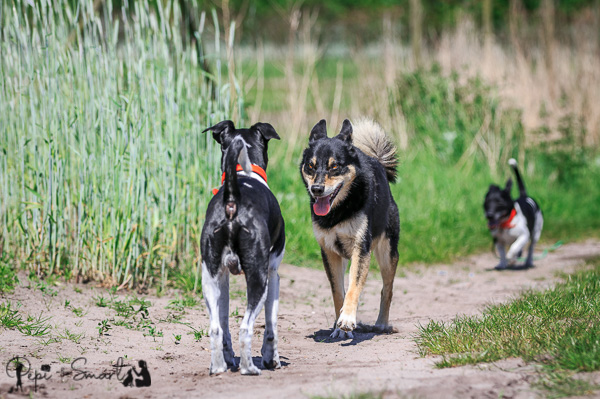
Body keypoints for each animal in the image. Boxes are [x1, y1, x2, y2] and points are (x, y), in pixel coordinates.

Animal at [200, 120, 284, 376]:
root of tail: (232, 200)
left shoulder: (224, 277)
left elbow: (224, 321)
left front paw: (228, 358)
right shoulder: (273, 274)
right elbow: (271, 326)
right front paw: (272, 359)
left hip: (209, 278)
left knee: (216, 328)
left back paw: (218, 367)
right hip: (258, 278)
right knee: (246, 328)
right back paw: (250, 368)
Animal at [298, 117, 398, 340]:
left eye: (335, 166)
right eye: (310, 166)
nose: (316, 189)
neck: (339, 211)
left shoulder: (360, 249)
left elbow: (353, 288)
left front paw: (347, 320)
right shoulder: (329, 253)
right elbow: (338, 292)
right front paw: (338, 327)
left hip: (388, 253)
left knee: (387, 290)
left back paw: (381, 324)